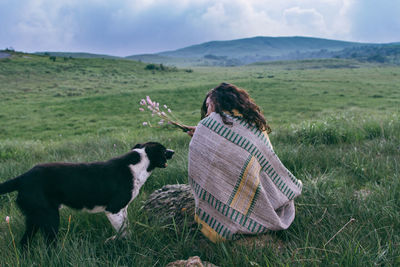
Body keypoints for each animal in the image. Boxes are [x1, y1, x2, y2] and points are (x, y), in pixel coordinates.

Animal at [0, 142, 173, 247]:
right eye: (163, 149)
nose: (173, 151)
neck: (137, 165)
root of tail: (23, 177)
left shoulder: (122, 210)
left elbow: (125, 228)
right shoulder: (114, 209)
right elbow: (124, 232)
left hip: (34, 219)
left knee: (24, 243)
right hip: (50, 218)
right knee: (49, 245)